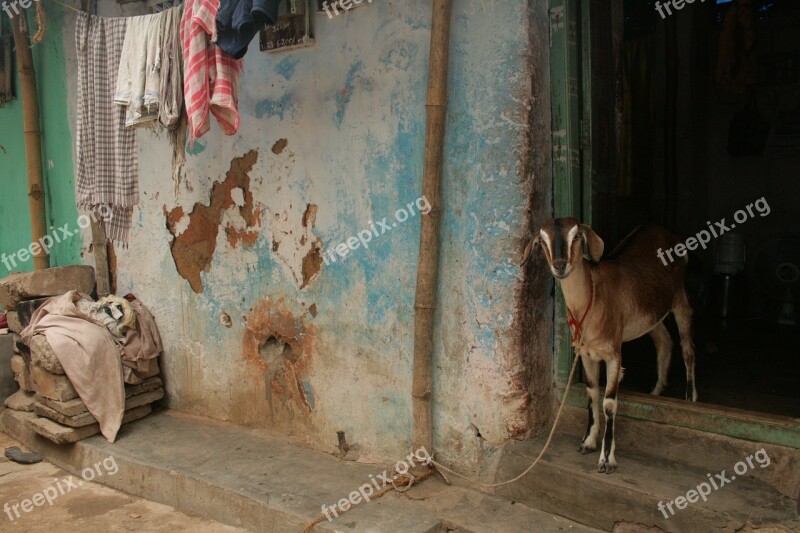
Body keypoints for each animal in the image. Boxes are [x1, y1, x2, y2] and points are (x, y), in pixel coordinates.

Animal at [524, 218, 692, 472]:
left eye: (576, 236)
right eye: (543, 240)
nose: (560, 266)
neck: (592, 300)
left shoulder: (613, 354)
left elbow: (609, 402)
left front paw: (607, 459)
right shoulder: (586, 354)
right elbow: (592, 393)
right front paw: (588, 441)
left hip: (680, 299)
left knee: (688, 349)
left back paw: (691, 399)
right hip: (650, 316)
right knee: (665, 341)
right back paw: (656, 391)